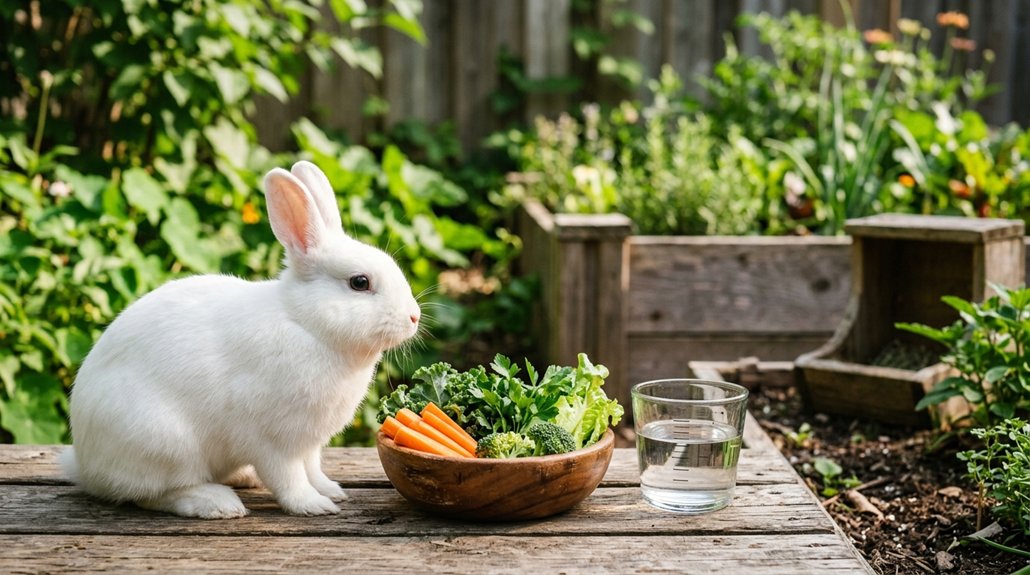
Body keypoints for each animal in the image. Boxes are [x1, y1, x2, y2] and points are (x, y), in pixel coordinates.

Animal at [60, 161, 422, 519]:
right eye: (360, 282)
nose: (414, 316)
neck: (305, 324)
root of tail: (86, 466)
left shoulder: (309, 444)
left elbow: (313, 469)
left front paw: (331, 490)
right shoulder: (272, 440)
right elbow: (289, 478)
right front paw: (313, 505)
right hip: (165, 444)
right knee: (153, 494)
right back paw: (217, 503)